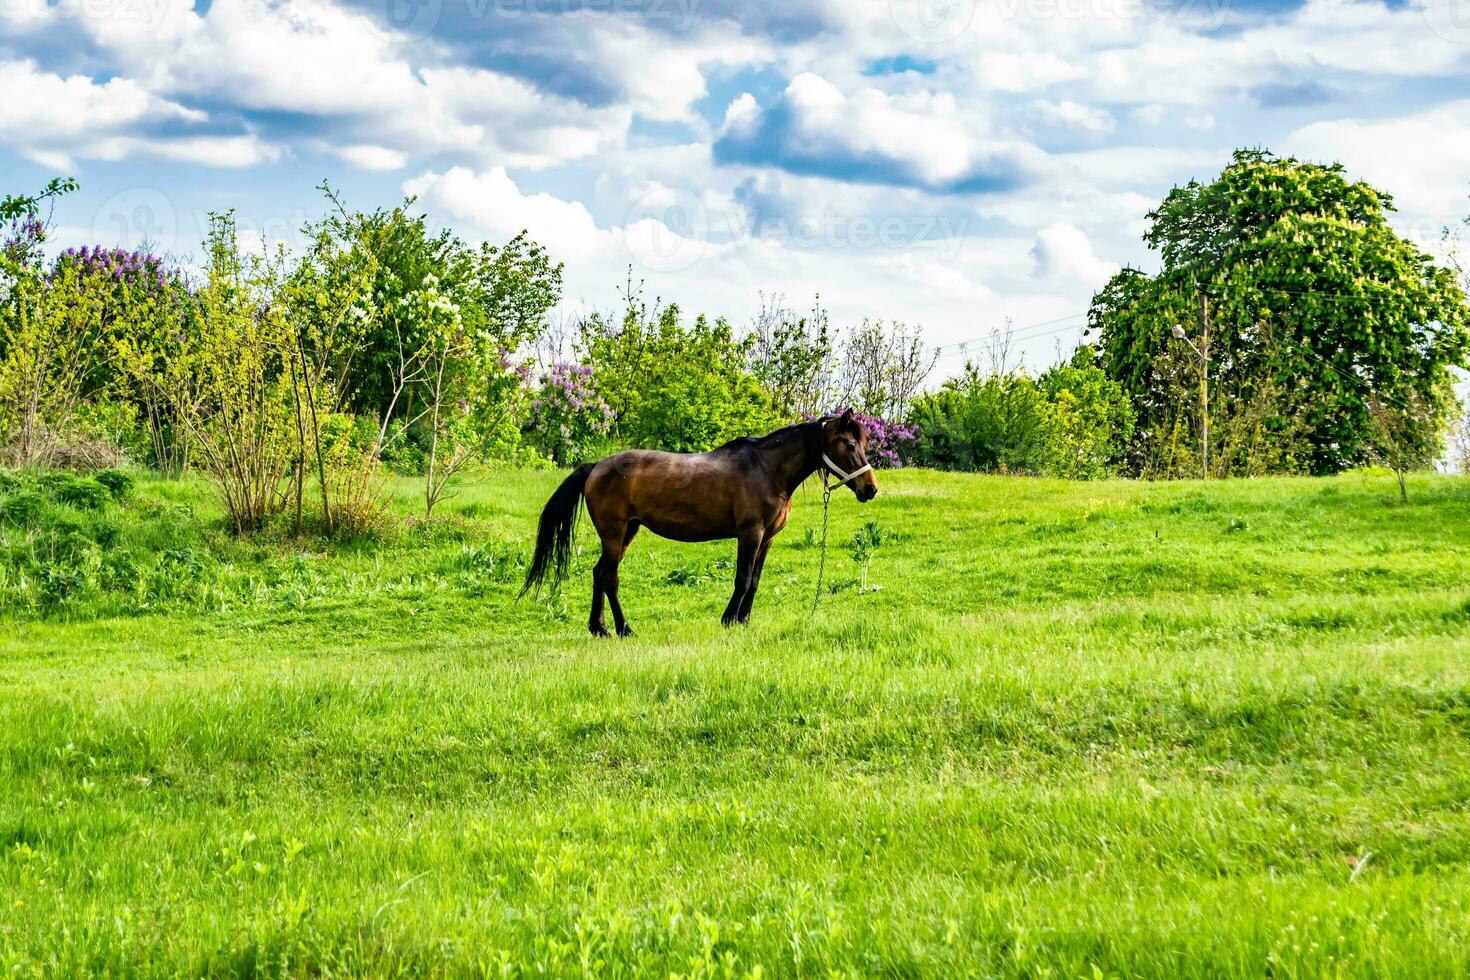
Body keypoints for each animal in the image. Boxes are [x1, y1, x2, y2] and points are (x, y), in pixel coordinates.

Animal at [523, 411, 876, 637]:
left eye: (864, 444)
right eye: (849, 445)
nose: (870, 489)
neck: (766, 468)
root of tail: (596, 466)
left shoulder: (767, 539)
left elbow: (755, 581)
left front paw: (743, 621)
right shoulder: (750, 533)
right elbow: (742, 579)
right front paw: (729, 620)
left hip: (627, 532)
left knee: (599, 574)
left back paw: (599, 629)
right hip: (614, 533)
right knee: (609, 578)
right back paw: (623, 629)